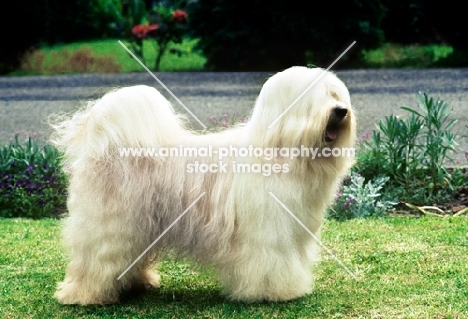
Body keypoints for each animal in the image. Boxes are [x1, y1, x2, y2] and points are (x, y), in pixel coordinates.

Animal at [51, 67, 356, 304]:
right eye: (313, 98)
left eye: (335, 94)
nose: (341, 111)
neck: (282, 153)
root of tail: (103, 142)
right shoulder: (267, 235)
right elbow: (269, 263)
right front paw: (273, 293)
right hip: (108, 227)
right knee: (94, 260)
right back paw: (83, 295)